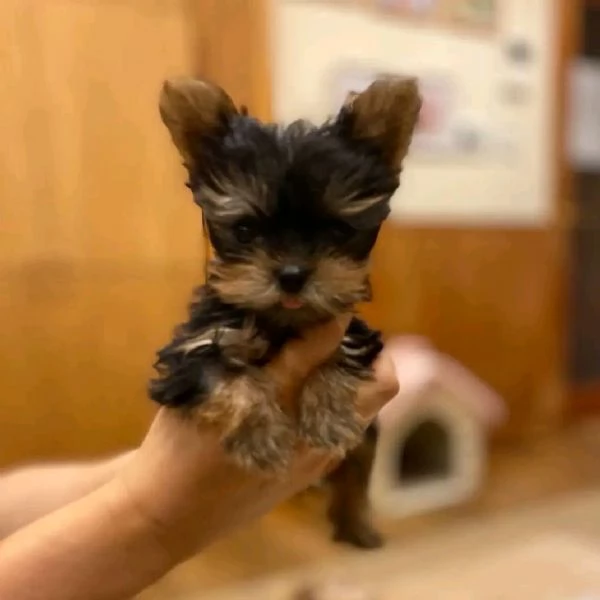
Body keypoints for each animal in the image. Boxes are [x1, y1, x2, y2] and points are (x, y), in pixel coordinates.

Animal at [149, 75, 420, 548]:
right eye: (244, 230)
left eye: (337, 230)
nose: (292, 275)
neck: (283, 323)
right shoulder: (189, 351)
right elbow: (224, 373)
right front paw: (261, 436)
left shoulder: (350, 332)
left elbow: (339, 355)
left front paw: (327, 417)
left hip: (369, 437)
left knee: (357, 469)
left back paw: (355, 524)